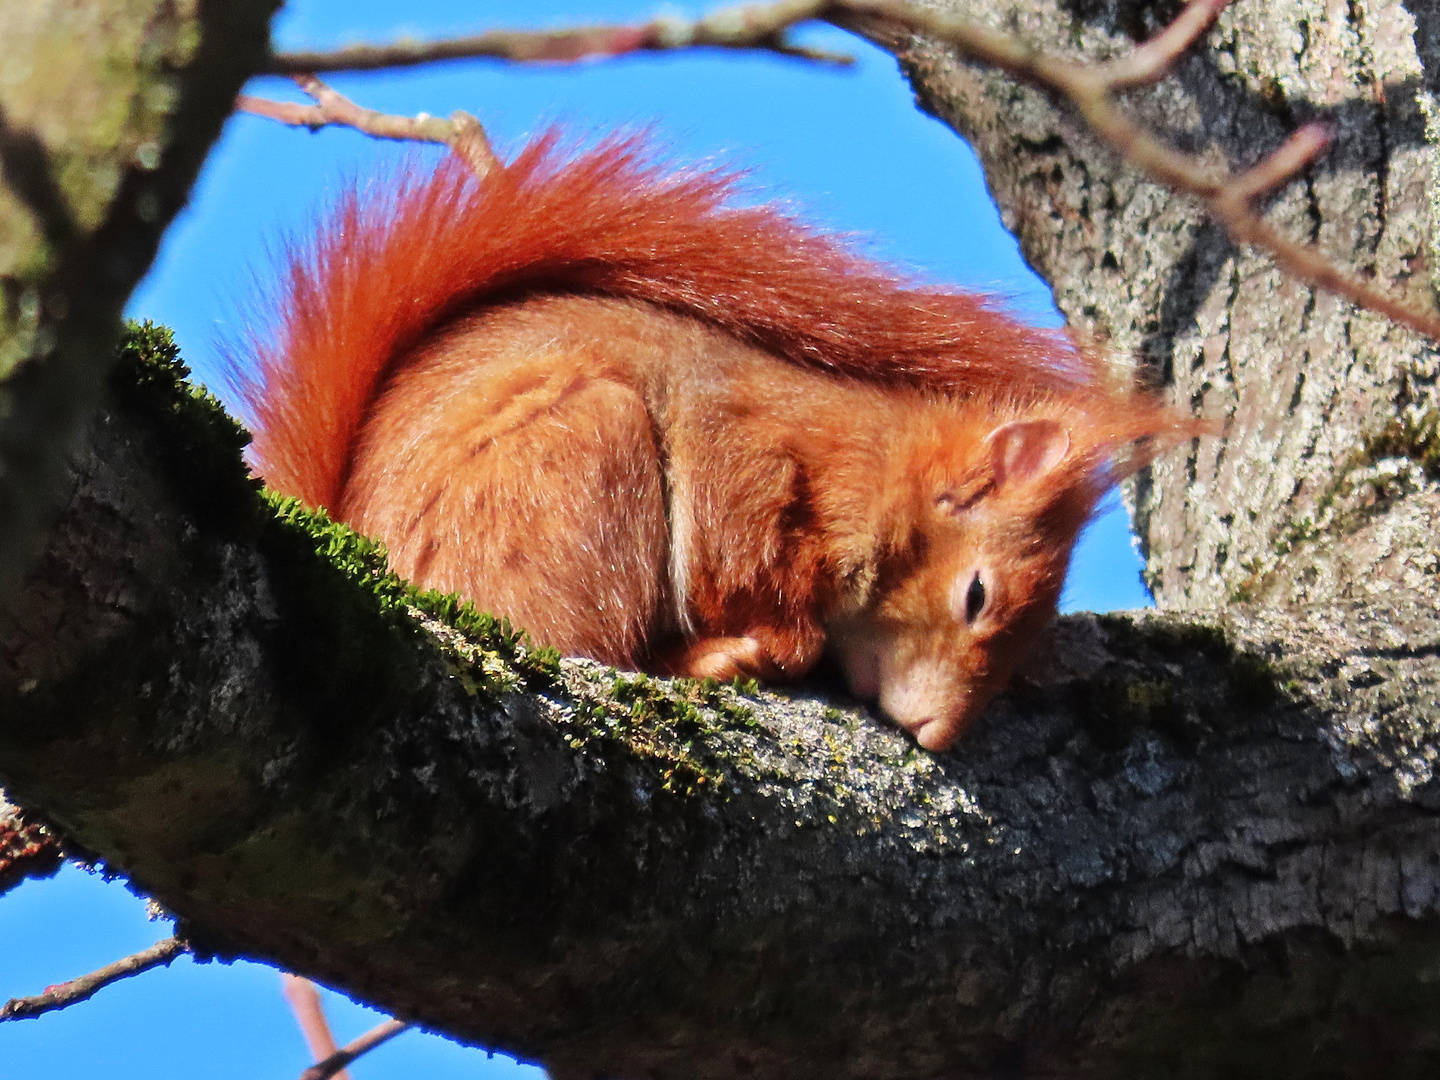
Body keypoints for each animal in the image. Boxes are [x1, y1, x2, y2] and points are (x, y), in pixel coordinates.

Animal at [247, 135, 1203, 754]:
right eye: (976, 596)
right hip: (575, 466)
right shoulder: (743, 458)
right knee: (591, 650)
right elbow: (732, 556)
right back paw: (717, 655)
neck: (873, 463)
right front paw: (782, 638)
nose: (938, 735)